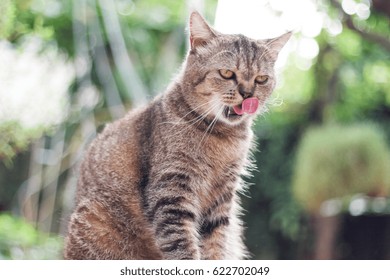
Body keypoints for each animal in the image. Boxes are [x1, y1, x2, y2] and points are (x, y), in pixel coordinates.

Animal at [64, 11, 290, 260]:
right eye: (227, 73)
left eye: (261, 79)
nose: (248, 94)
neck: (223, 137)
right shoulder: (172, 192)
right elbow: (183, 248)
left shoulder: (221, 199)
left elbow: (215, 246)